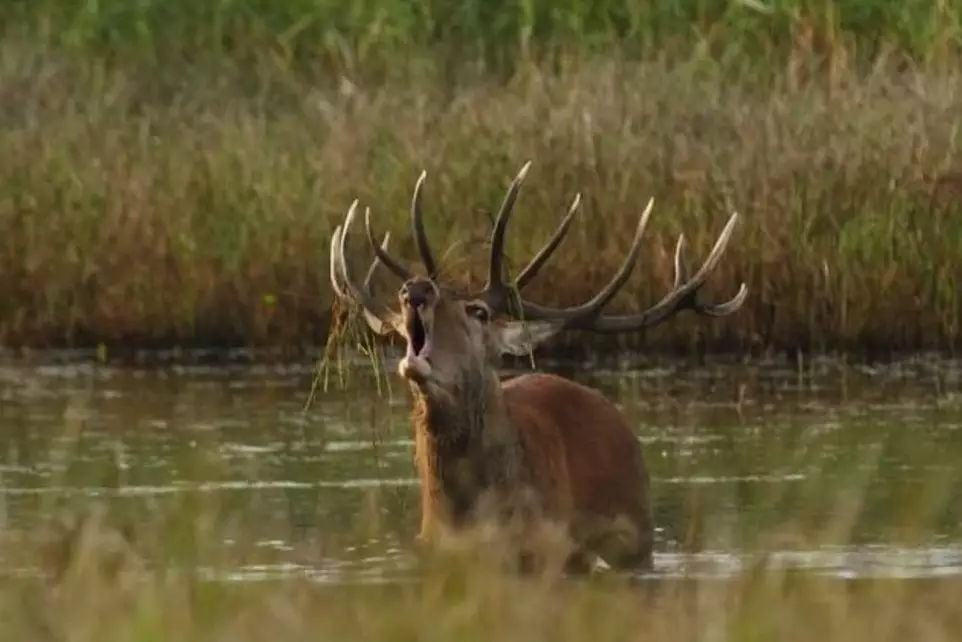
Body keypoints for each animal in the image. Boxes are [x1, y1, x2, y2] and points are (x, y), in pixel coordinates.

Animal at [328, 161, 747, 575]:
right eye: (402, 317)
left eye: (479, 312)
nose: (415, 289)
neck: (466, 519)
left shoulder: (554, 553)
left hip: (636, 533)